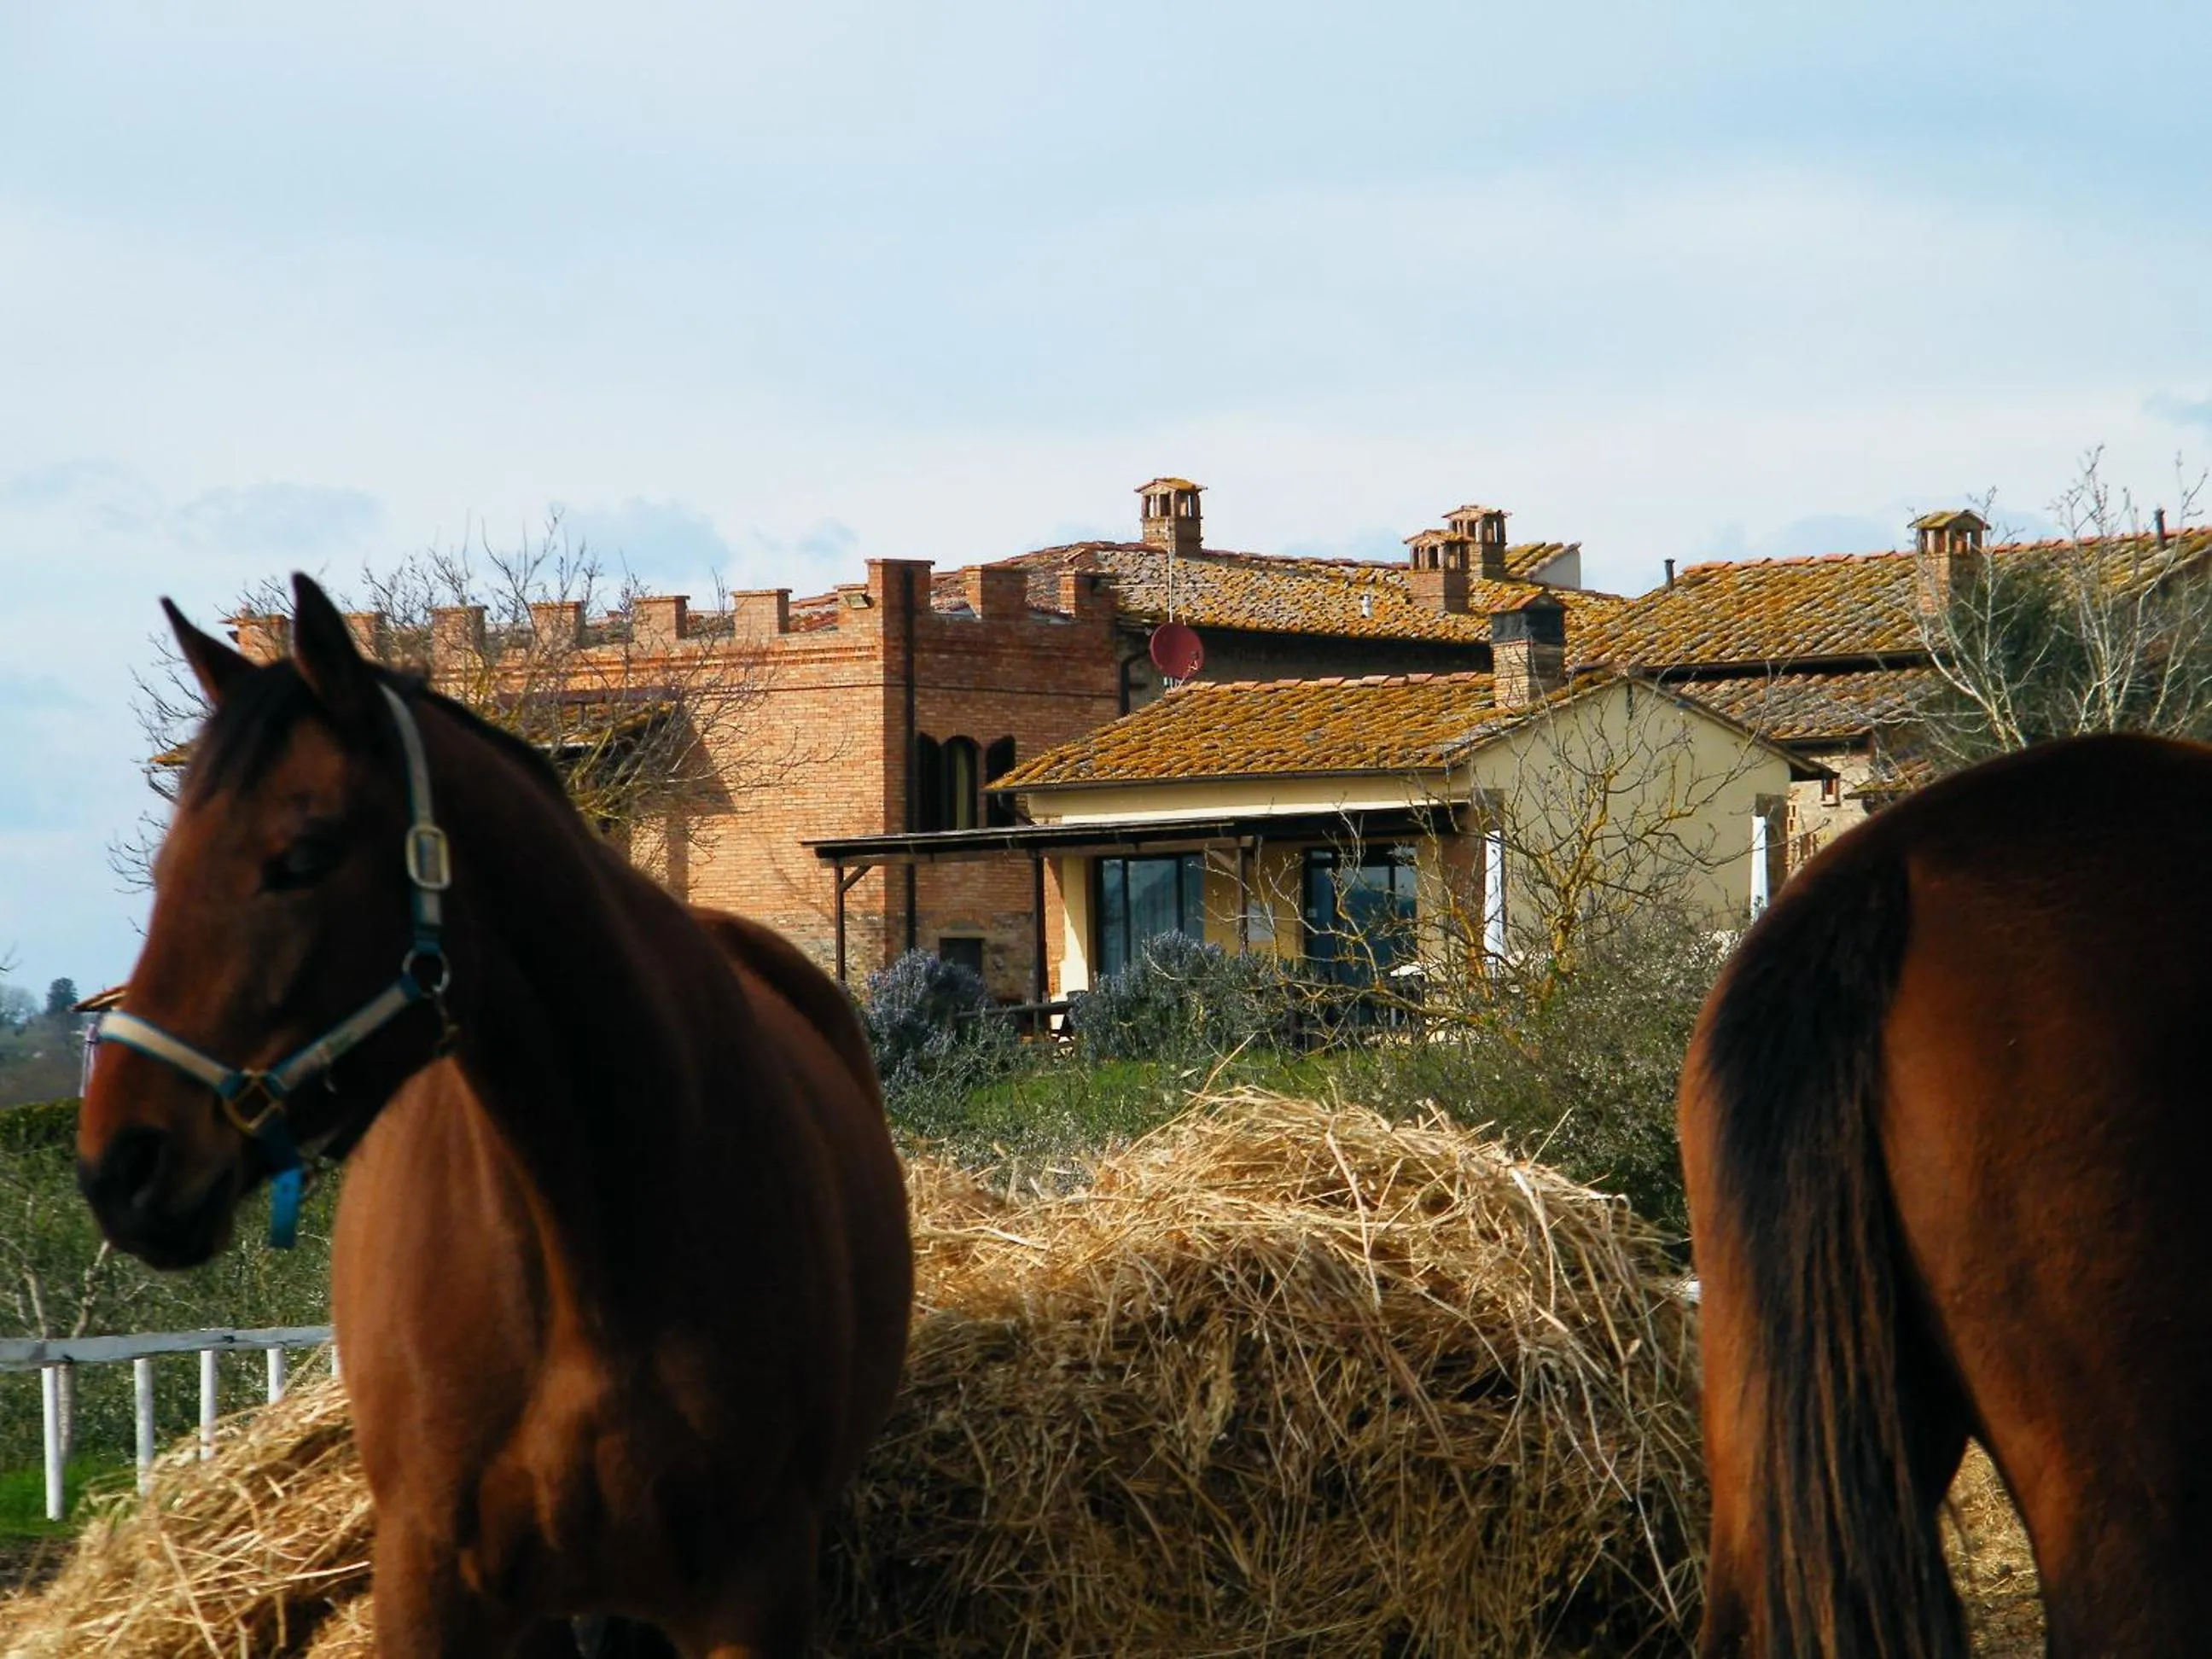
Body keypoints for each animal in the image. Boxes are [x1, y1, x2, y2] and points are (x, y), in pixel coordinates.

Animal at [77, 574, 913, 1659]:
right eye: (165, 863)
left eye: (303, 855)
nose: (120, 1164)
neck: (588, 1256)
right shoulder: (431, 1585)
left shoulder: (755, 1593)